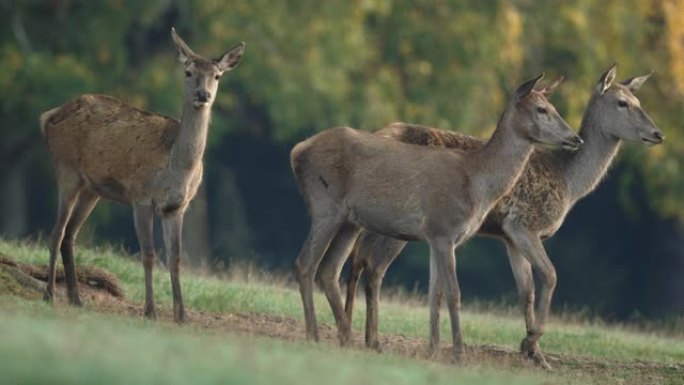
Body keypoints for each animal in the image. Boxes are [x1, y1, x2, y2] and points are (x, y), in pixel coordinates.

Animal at [40, 26, 246, 320]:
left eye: (217, 75)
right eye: (188, 72)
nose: (203, 95)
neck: (178, 168)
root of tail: (49, 115)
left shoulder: (177, 206)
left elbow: (175, 257)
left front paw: (182, 315)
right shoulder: (141, 196)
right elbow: (148, 254)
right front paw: (150, 310)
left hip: (93, 188)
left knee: (70, 234)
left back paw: (76, 298)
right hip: (66, 168)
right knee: (56, 232)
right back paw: (50, 294)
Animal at [288, 73, 584, 360]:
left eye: (554, 107)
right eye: (541, 109)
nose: (575, 138)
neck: (477, 184)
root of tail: (297, 151)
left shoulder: (435, 236)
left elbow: (435, 294)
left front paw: (433, 351)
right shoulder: (443, 228)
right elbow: (453, 293)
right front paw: (458, 353)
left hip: (350, 221)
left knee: (329, 269)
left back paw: (348, 338)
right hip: (325, 205)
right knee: (305, 263)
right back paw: (314, 335)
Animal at [342, 63, 664, 368]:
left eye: (638, 100)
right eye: (622, 102)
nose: (658, 134)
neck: (569, 183)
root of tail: (381, 131)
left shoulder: (508, 237)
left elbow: (526, 291)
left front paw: (536, 354)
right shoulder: (523, 225)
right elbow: (550, 274)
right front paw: (530, 344)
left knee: (359, 258)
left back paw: (360, 333)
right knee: (374, 266)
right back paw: (367, 338)